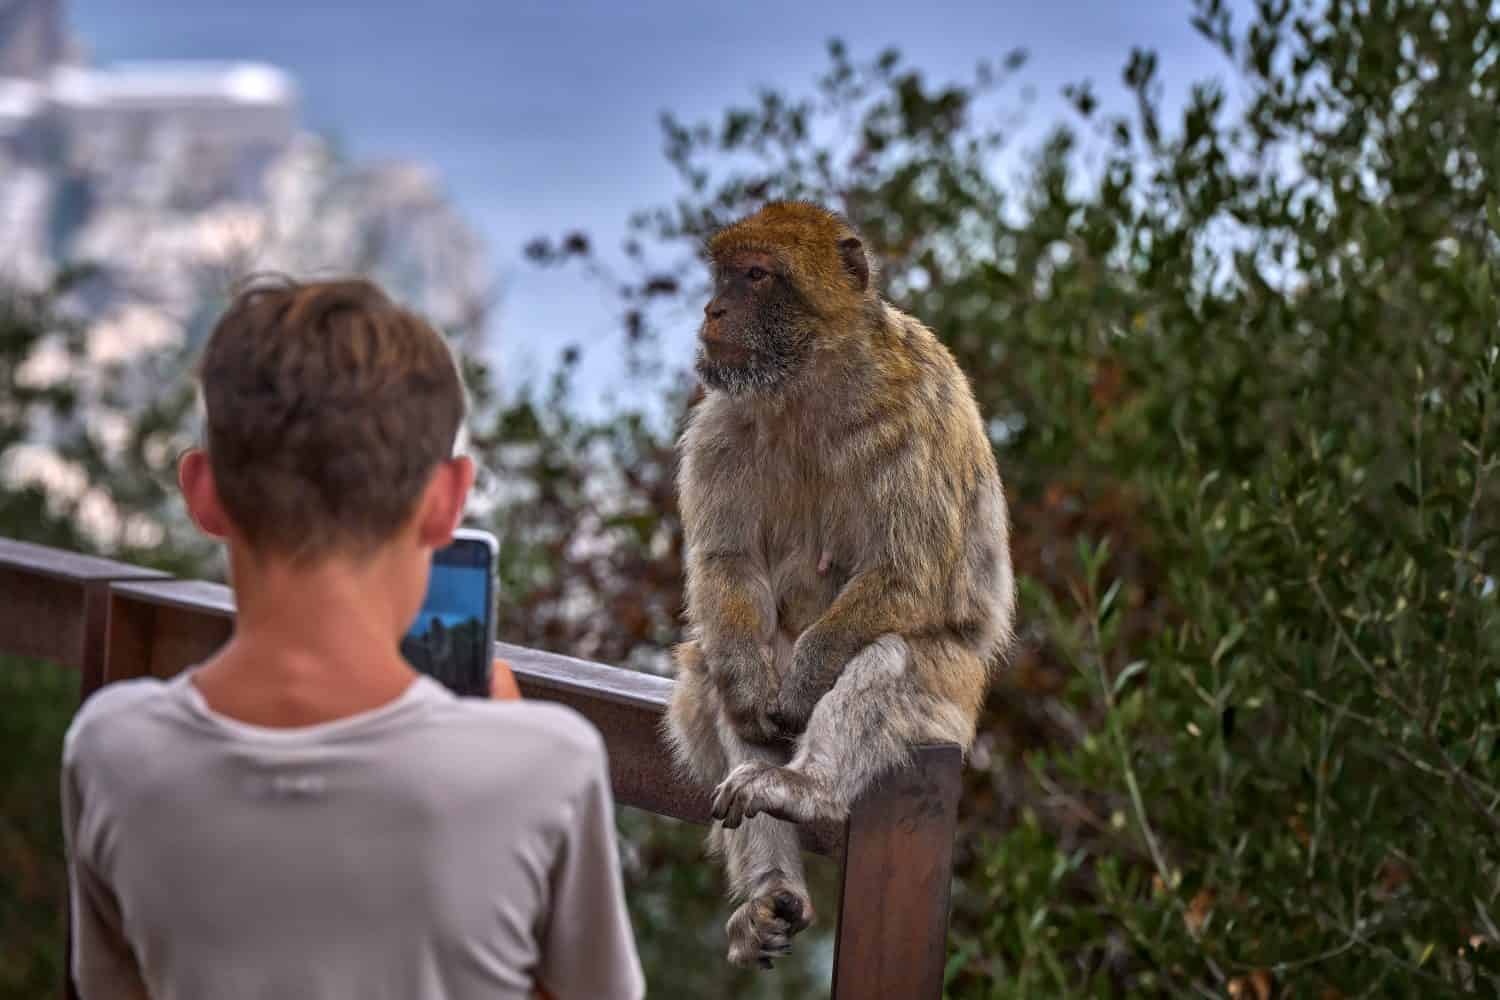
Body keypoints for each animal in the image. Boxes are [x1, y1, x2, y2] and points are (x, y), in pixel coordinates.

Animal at [663, 201, 1016, 969]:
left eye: (756, 276)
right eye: (724, 274)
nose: (712, 309)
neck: (810, 382)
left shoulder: (912, 417)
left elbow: (909, 571)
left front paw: (807, 680)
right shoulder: (721, 421)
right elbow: (727, 561)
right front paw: (749, 682)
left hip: (953, 702)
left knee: (890, 653)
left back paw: (810, 787)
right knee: (718, 674)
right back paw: (771, 887)